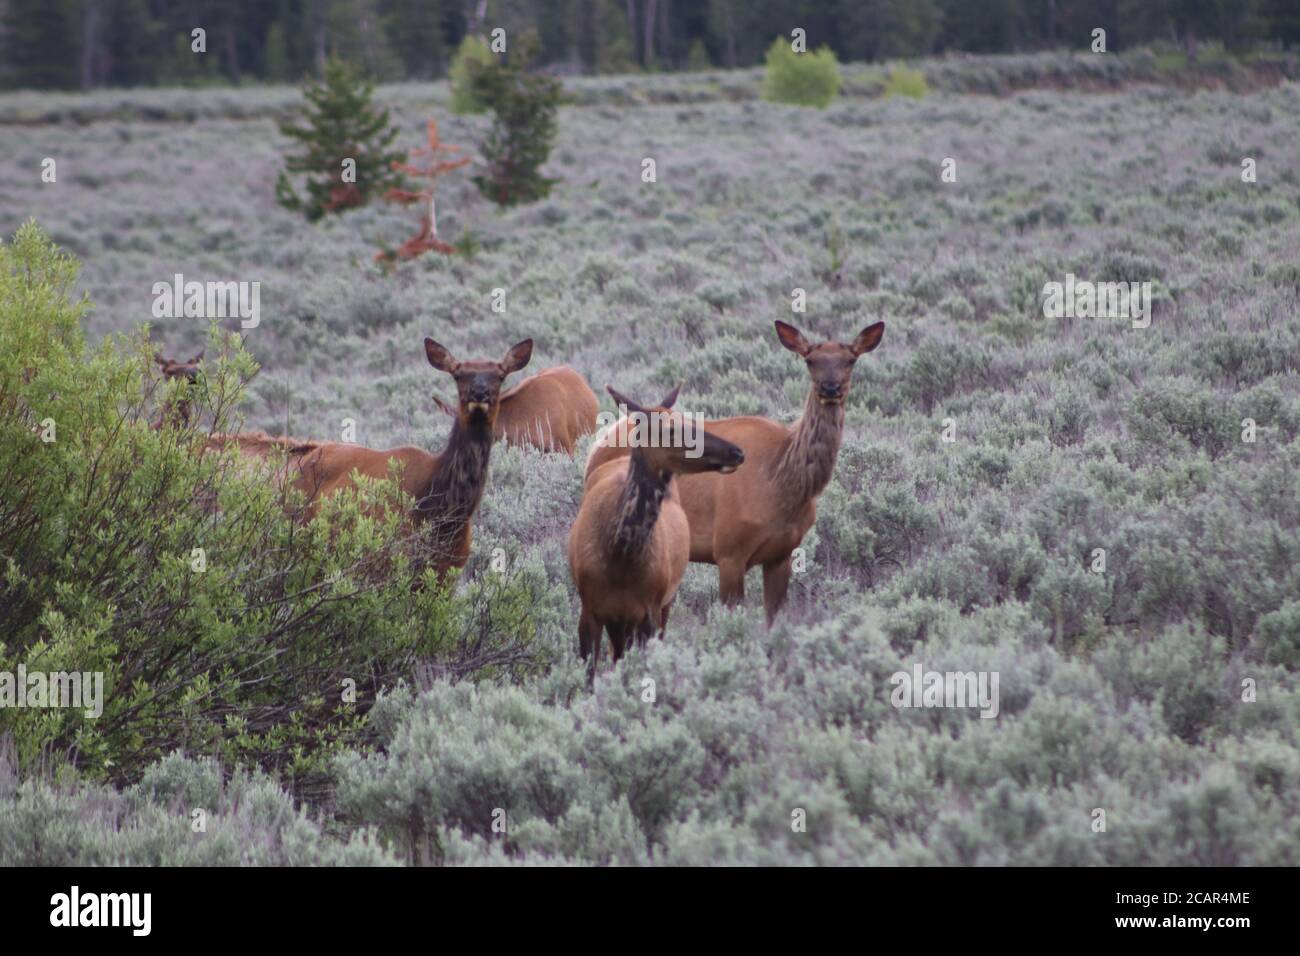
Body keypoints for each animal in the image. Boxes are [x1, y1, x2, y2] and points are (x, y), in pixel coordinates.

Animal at [566, 382, 748, 681]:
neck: (619, 557)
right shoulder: (589, 609)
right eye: (670, 430)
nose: (737, 452)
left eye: (690, 420)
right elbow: (590, 675)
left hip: (666, 601)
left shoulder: (648, 610)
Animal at [587, 317, 883, 624]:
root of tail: (600, 440)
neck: (783, 487)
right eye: (810, 360)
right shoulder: (728, 549)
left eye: (850, 360)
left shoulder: (783, 553)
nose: (830, 388)